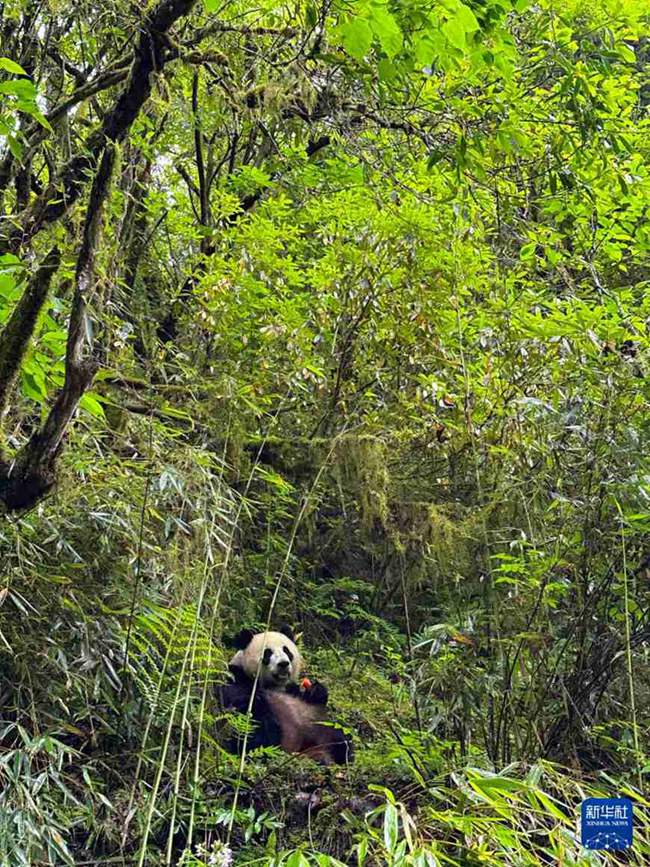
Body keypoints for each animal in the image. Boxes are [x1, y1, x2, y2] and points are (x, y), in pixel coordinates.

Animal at [216, 628, 350, 764]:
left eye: (286, 650)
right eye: (267, 653)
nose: (283, 664)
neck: (275, 686)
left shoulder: (291, 689)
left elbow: (309, 695)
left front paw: (315, 690)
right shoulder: (237, 678)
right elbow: (242, 706)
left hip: (318, 724)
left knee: (341, 737)